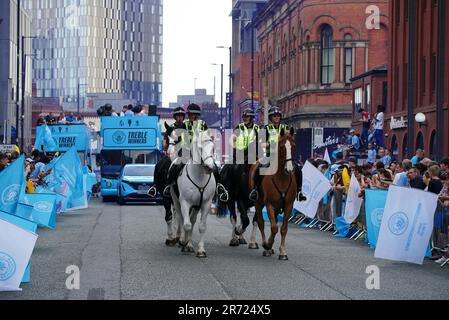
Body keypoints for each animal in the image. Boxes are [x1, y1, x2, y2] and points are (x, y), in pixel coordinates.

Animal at [168, 125, 217, 258]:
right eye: (200, 148)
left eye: (213, 148)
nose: (211, 168)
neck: (199, 176)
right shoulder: (185, 202)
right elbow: (187, 224)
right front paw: (184, 243)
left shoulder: (206, 204)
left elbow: (201, 226)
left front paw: (200, 250)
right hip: (176, 201)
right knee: (181, 218)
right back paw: (182, 241)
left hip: (196, 206)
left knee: (193, 220)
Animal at [248, 127, 298, 260]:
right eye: (281, 146)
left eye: (294, 146)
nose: (289, 169)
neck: (281, 178)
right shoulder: (269, 204)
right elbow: (274, 227)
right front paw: (267, 245)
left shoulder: (288, 205)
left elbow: (283, 228)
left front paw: (283, 252)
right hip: (258, 203)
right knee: (260, 222)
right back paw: (266, 246)